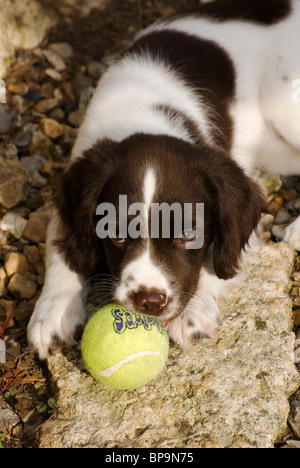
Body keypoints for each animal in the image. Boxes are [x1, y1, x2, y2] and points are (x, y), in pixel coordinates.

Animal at [27, 0, 300, 358]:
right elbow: (61, 242)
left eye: (187, 236)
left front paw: (193, 312)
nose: (150, 301)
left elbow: (220, 256)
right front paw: (54, 312)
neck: (145, 114)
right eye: (116, 235)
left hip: (284, 108)